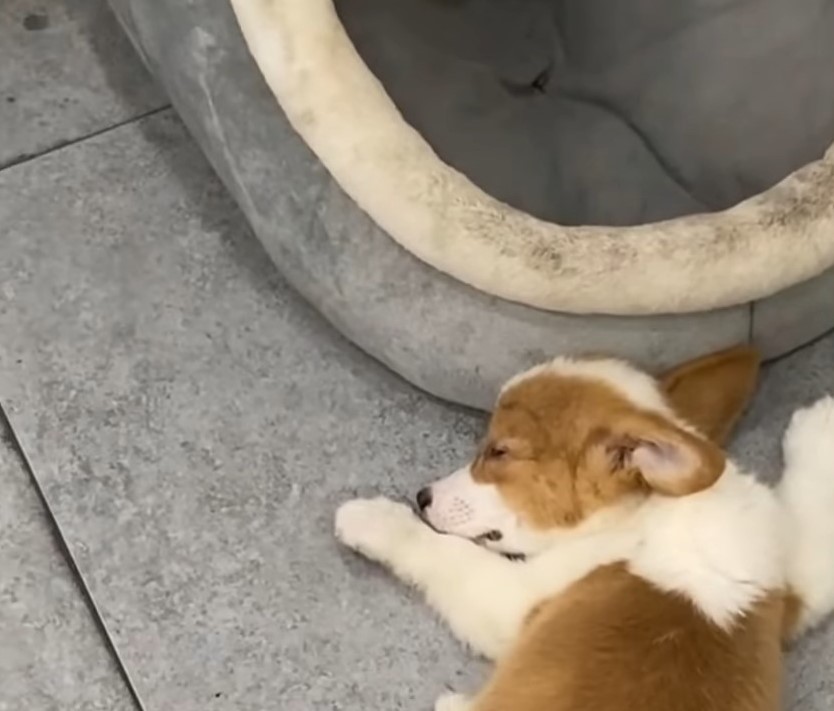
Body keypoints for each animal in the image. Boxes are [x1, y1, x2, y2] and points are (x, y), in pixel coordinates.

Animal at [334, 350, 832, 711]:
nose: (423, 496)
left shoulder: (513, 601)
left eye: (498, 452)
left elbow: (444, 553)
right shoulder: (788, 588)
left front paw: (370, 519)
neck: (649, 510)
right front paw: (821, 426)